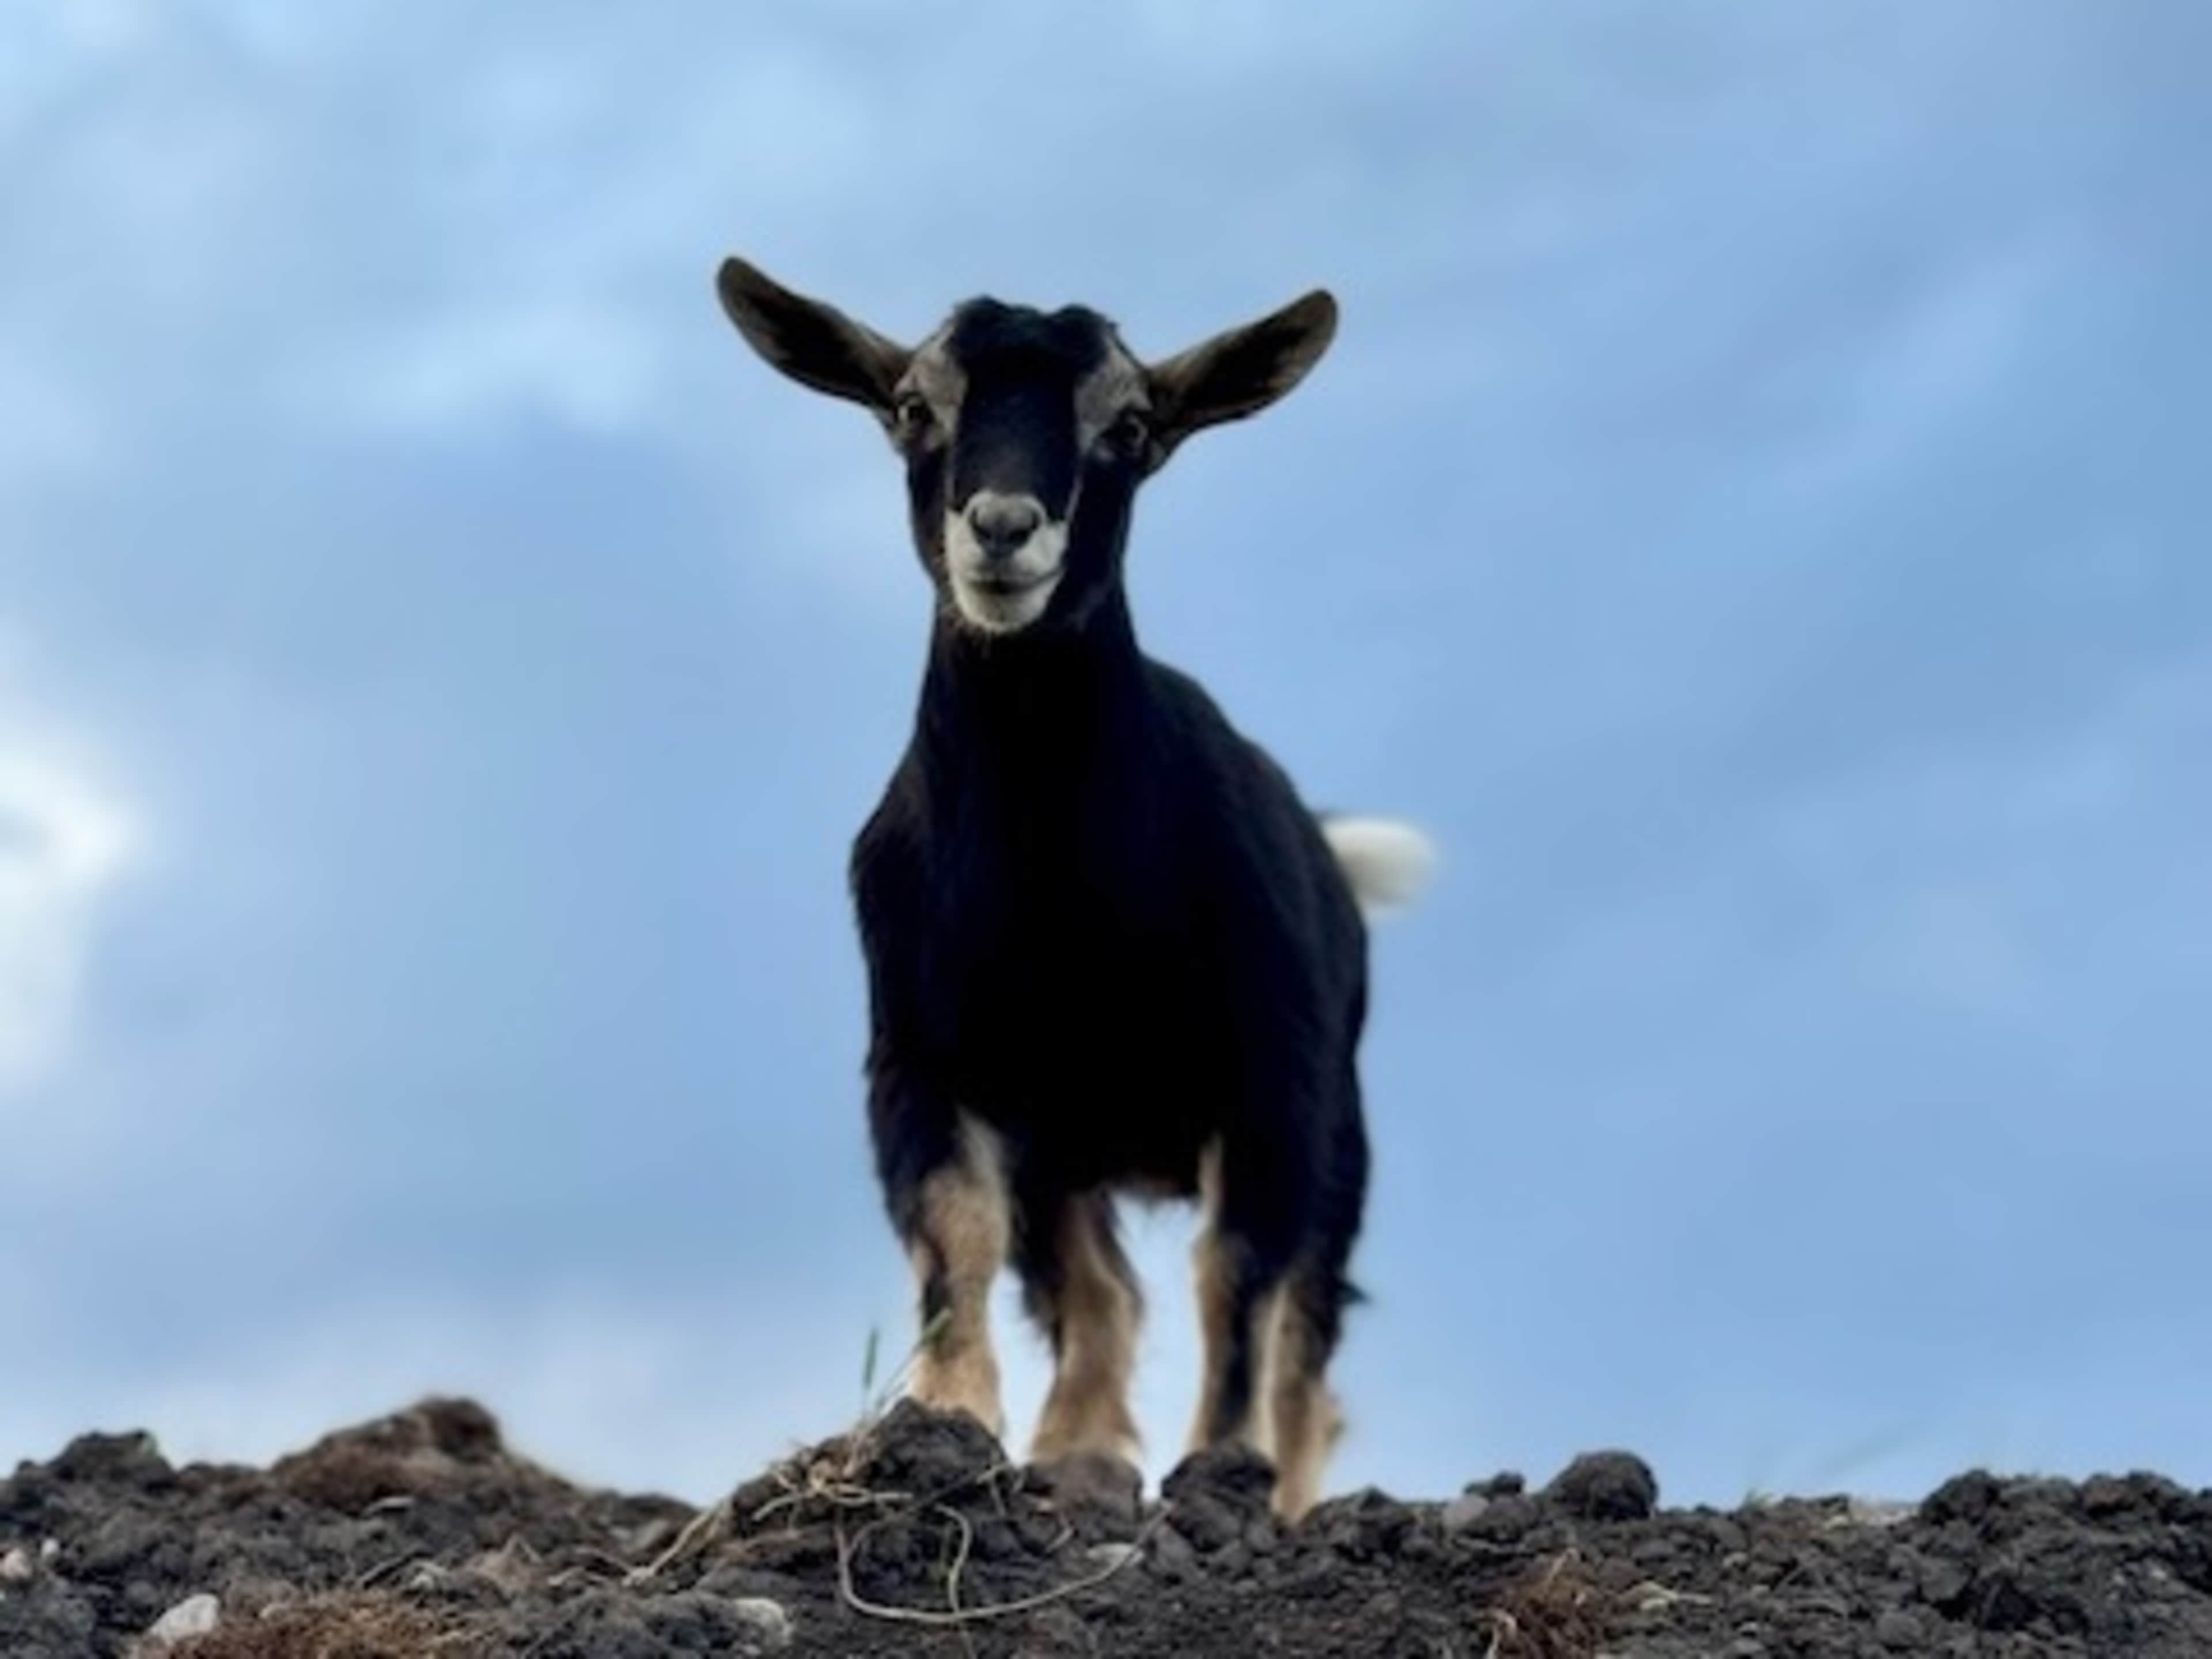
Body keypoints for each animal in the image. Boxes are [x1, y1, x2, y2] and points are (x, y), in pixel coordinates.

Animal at [714, 257, 1434, 1519]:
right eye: (914, 407)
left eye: (1131, 426)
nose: (1004, 528)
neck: (1063, 914)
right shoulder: (926, 1067)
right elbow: (960, 1240)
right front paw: (958, 1432)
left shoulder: (1270, 1084)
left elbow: (1237, 1280)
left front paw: (1218, 1471)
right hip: (1069, 1141)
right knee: (1096, 1286)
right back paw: (1084, 1448)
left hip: (1336, 1127)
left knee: (1305, 1340)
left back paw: (1282, 1493)